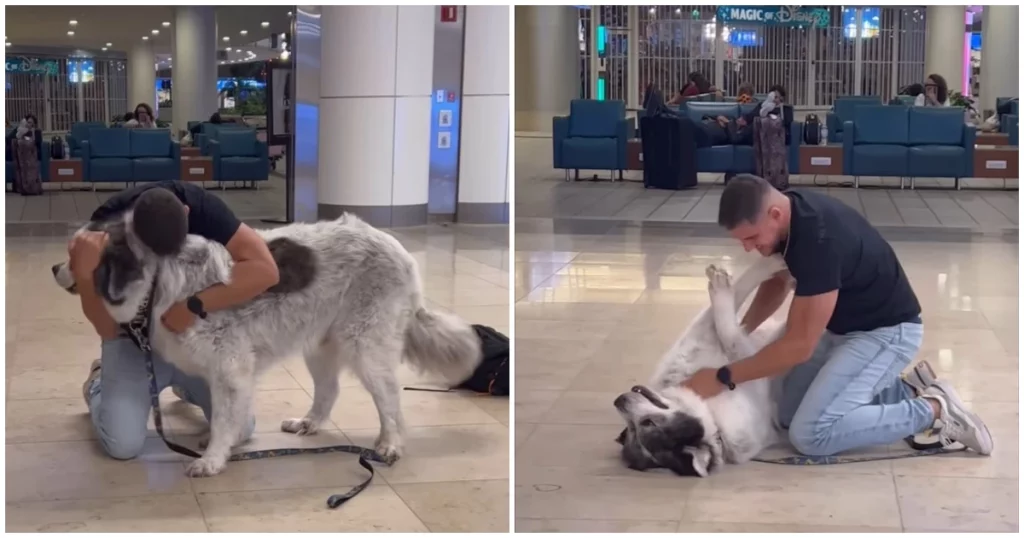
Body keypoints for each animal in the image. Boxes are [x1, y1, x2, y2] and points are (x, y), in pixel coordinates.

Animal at [55, 212, 483, 475]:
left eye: (75, 254)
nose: (55, 268)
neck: (161, 279)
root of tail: (397, 248)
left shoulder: (230, 369)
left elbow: (226, 418)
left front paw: (212, 459)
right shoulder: (227, 372)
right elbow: (231, 416)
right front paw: (222, 444)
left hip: (365, 346)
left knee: (390, 400)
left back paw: (390, 443)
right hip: (320, 346)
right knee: (329, 390)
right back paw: (310, 423)